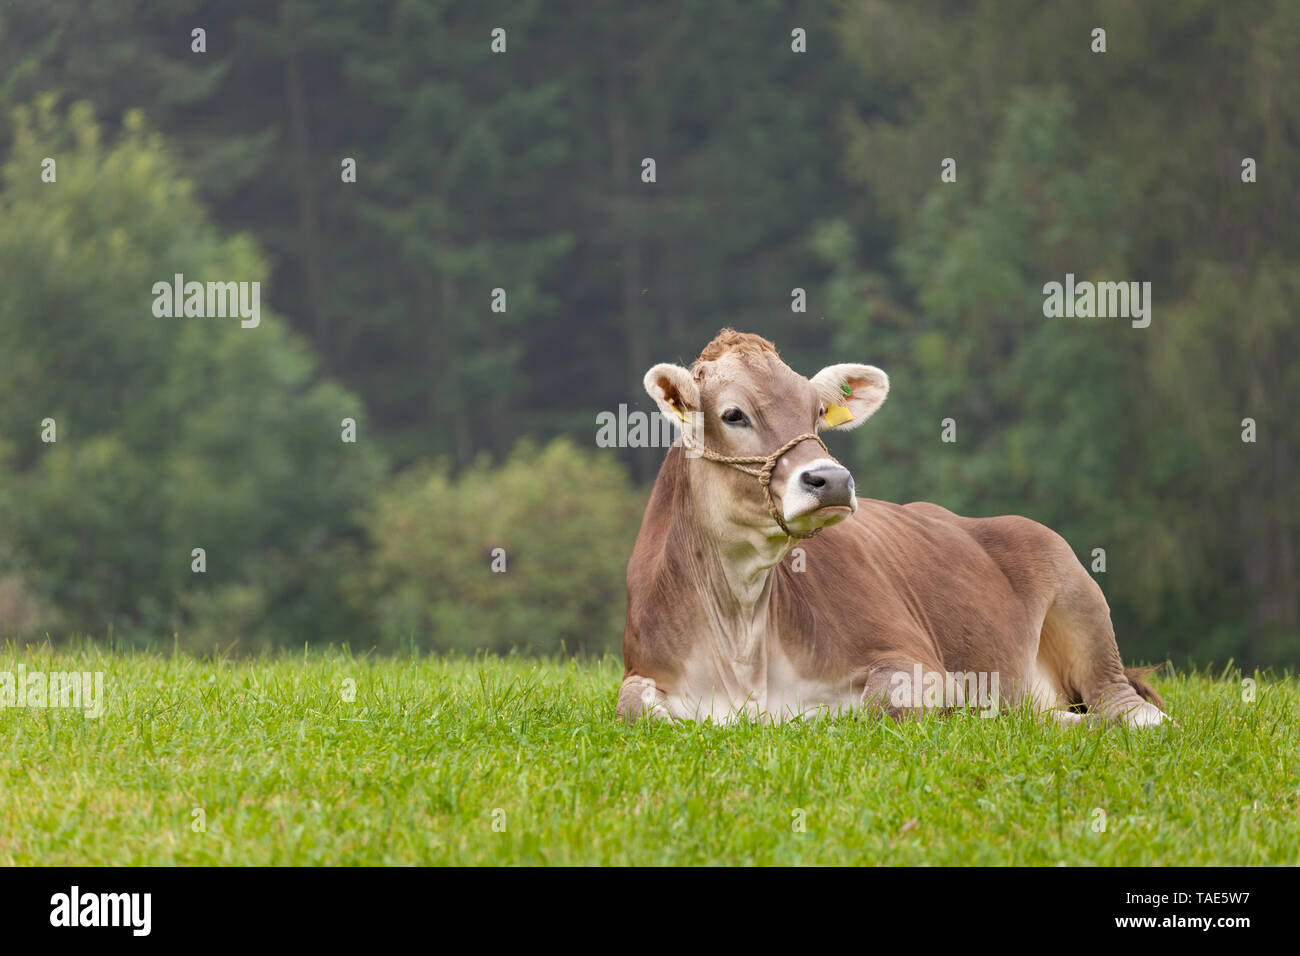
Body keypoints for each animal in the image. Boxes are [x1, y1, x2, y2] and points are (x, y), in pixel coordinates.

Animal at [618, 329, 1168, 727]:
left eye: (817, 413)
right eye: (733, 414)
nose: (831, 479)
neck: (741, 641)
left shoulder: (918, 662)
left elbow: (880, 706)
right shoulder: (641, 670)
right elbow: (634, 708)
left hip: (1080, 601)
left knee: (1123, 707)